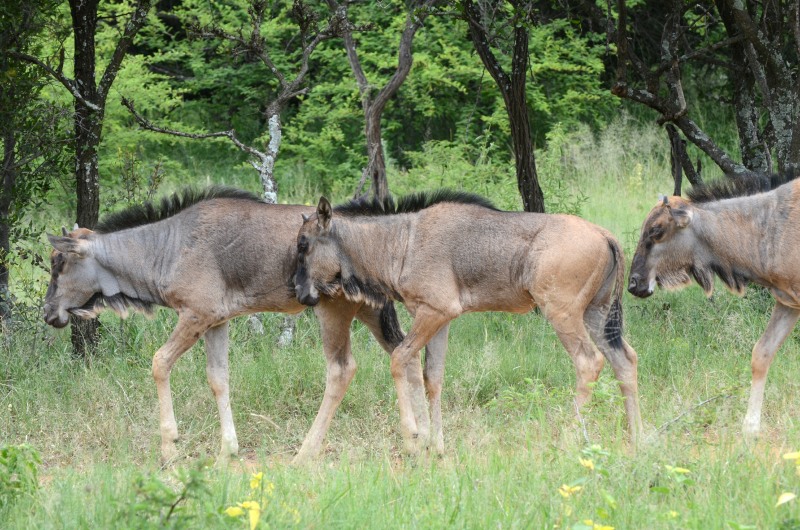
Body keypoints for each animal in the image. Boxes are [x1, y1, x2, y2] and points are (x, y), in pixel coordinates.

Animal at [43, 187, 440, 462]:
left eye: (59, 263)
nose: (49, 313)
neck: (166, 248)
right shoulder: (217, 322)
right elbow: (218, 378)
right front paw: (228, 449)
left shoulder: (195, 315)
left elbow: (159, 362)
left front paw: (170, 448)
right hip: (370, 312)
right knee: (406, 357)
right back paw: (422, 440)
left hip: (334, 310)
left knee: (343, 369)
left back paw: (308, 451)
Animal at [294, 190, 644, 450]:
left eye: (303, 243)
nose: (299, 293)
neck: (401, 241)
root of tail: (605, 235)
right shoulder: (440, 319)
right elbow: (432, 377)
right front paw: (437, 446)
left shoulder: (435, 311)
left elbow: (399, 359)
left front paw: (412, 436)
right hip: (597, 314)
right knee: (625, 359)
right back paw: (637, 438)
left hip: (563, 313)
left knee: (589, 362)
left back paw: (570, 438)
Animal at [632, 171, 800, 436]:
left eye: (656, 230)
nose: (634, 283)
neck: (768, 228)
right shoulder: (787, 303)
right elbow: (762, 353)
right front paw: (750, 428)